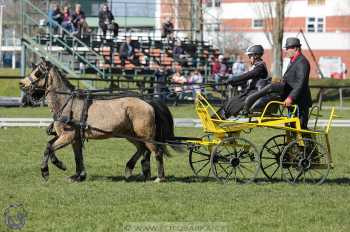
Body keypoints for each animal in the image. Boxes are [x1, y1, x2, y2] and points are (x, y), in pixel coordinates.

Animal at [18, 58, 178, 183]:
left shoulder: (68, 136)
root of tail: (147, 101)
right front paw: (78, 176)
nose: (21, 84)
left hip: (145, 135)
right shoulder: (73, 138)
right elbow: (76, 156)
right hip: (131, 135)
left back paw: (159, 177)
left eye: (38, 73)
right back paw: (132, 169)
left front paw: (51, 169)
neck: (67, 102)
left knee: (156, 151)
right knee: (142, 149)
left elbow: (49, 149)